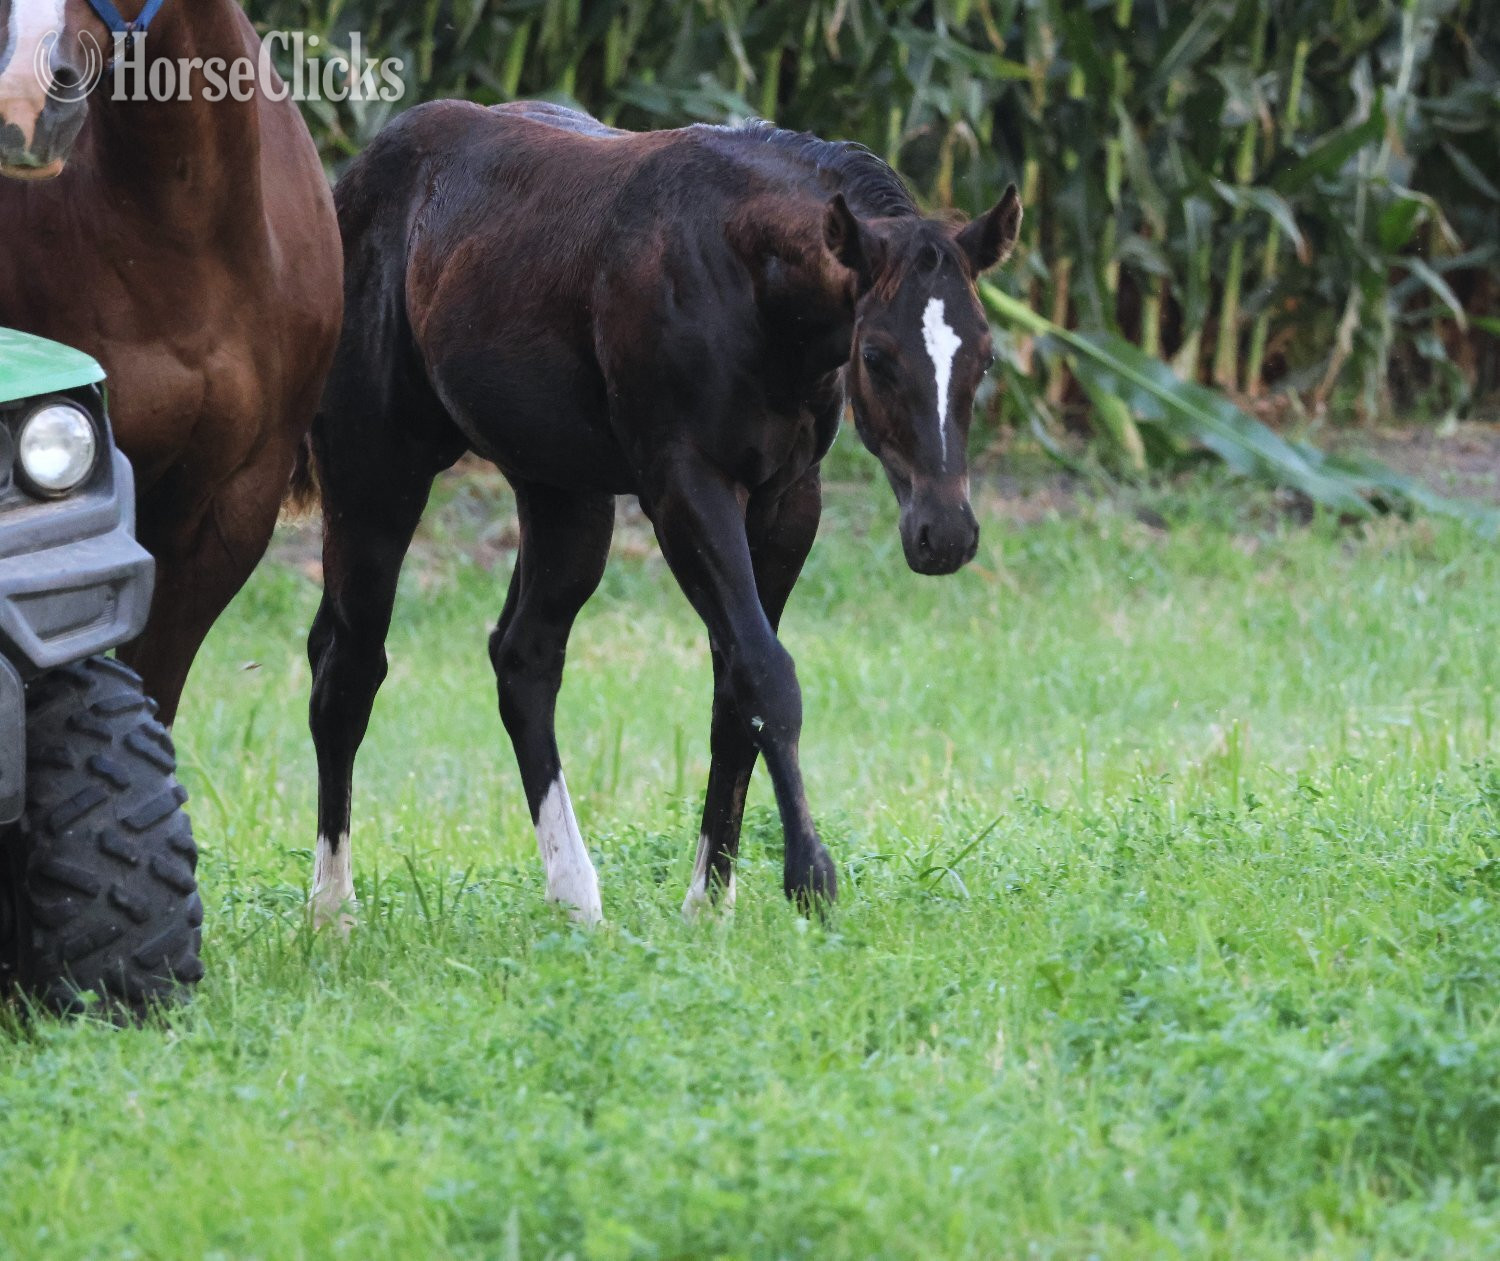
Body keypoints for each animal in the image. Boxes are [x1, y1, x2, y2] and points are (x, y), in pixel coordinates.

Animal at [304, 99, 1022, 927]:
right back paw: (332, 908)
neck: (742, 278)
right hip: (374, 476)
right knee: (348, 666)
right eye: (875, 354)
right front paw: (810, 877)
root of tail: (350, 183)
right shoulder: (686, 487)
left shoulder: (787, 501)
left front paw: (710, 899)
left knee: (523, 658)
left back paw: (575, 895)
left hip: (565, 495)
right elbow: (767, 674)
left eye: (985, 356)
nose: (946, 534)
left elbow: (736, 687)